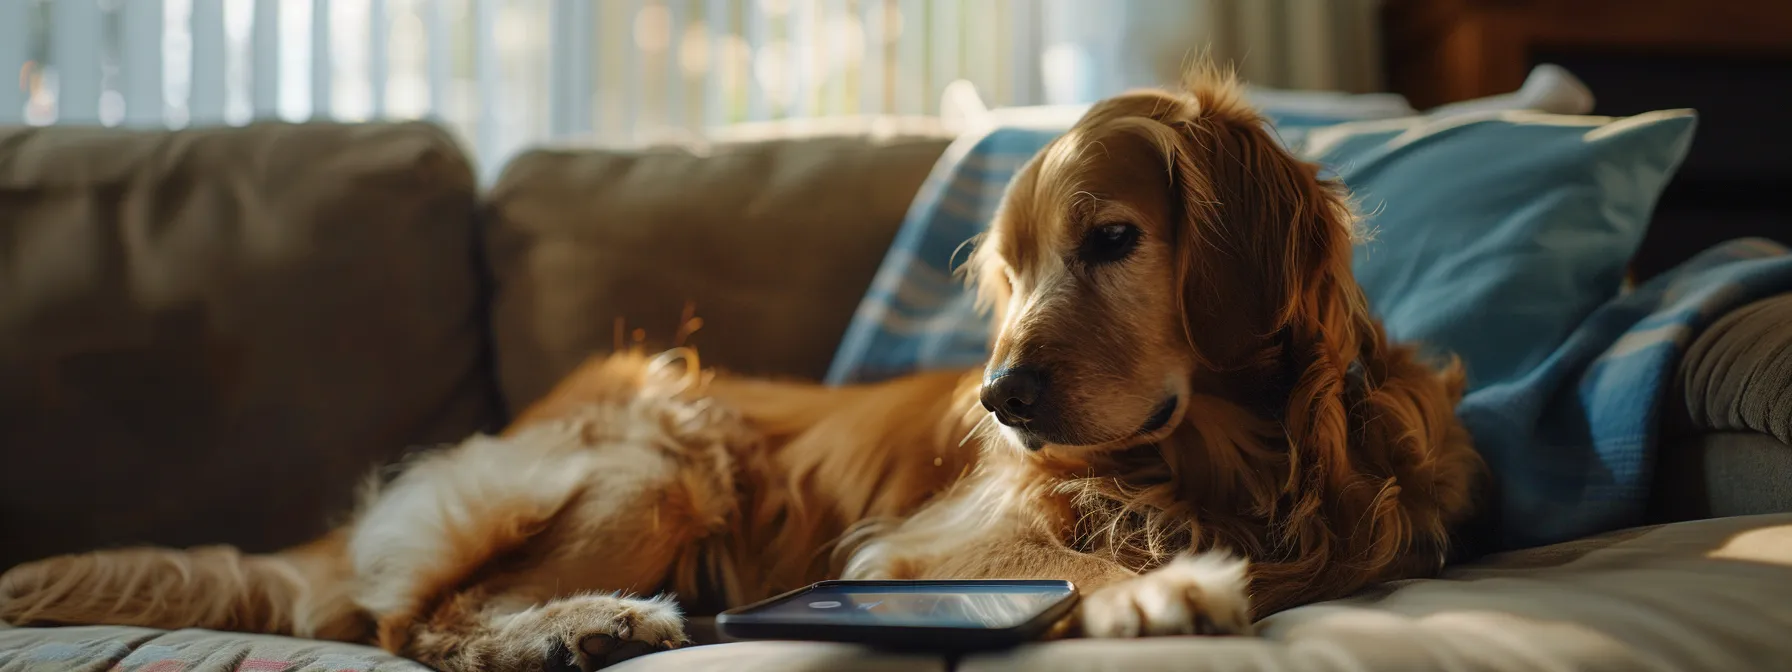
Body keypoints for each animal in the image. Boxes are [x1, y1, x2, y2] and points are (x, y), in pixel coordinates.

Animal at [0, 69, 1483, 672]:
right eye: (1010, 276)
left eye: (1112, 241)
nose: (1000, 400)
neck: (1230, 456)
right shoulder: (915, 552)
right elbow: (1066, 558)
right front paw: (1155, 588)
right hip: (666, 451)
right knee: (420, 621)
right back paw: (571, 628)